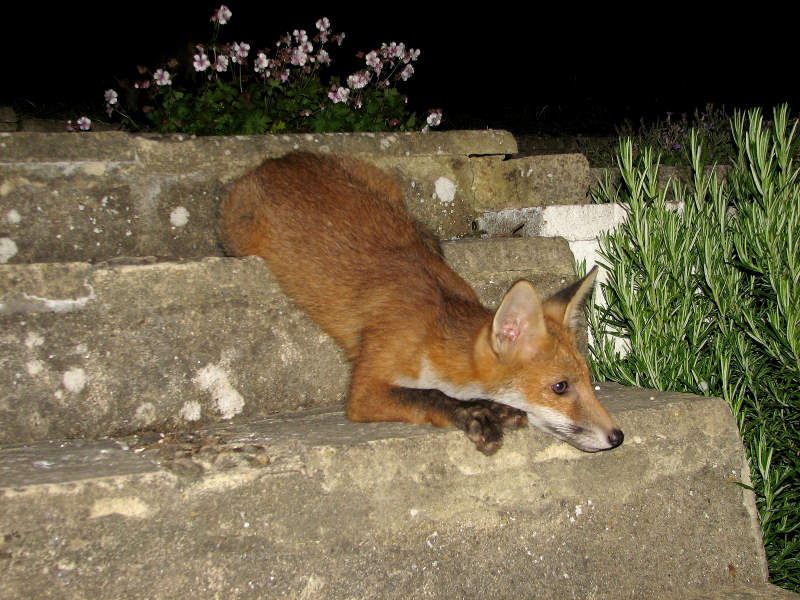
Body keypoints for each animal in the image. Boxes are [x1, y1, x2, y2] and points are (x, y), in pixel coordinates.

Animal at [220, 151, 624, 454]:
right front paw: (473, 413)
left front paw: (494, 407)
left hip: (389, 187)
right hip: (239, 238)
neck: (434, 329)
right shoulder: (366, 388)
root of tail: (279, 158)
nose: (617, 436)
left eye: (588, 379)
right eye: (560, 387)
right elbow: (431, 396)